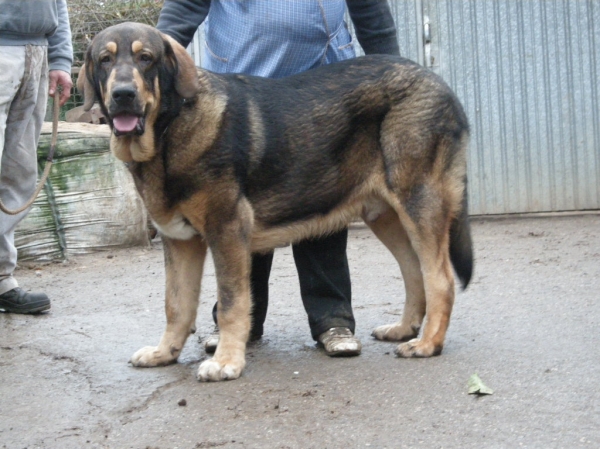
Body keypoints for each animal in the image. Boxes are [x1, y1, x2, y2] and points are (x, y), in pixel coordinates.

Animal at [78, 22, 474, 380]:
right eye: (104, 60)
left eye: (145, 58)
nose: (123, 94)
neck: (170, 129)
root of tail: (440, 84)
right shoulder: (180, 241)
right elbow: (176, 305)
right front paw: (165, 353)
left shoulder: (227, 230)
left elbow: (232, 303)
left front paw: (226, 362)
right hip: (386, 216)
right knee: (414, 273)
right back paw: (405, 329)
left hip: (419, 203)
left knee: (440, 279)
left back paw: (427, 344)